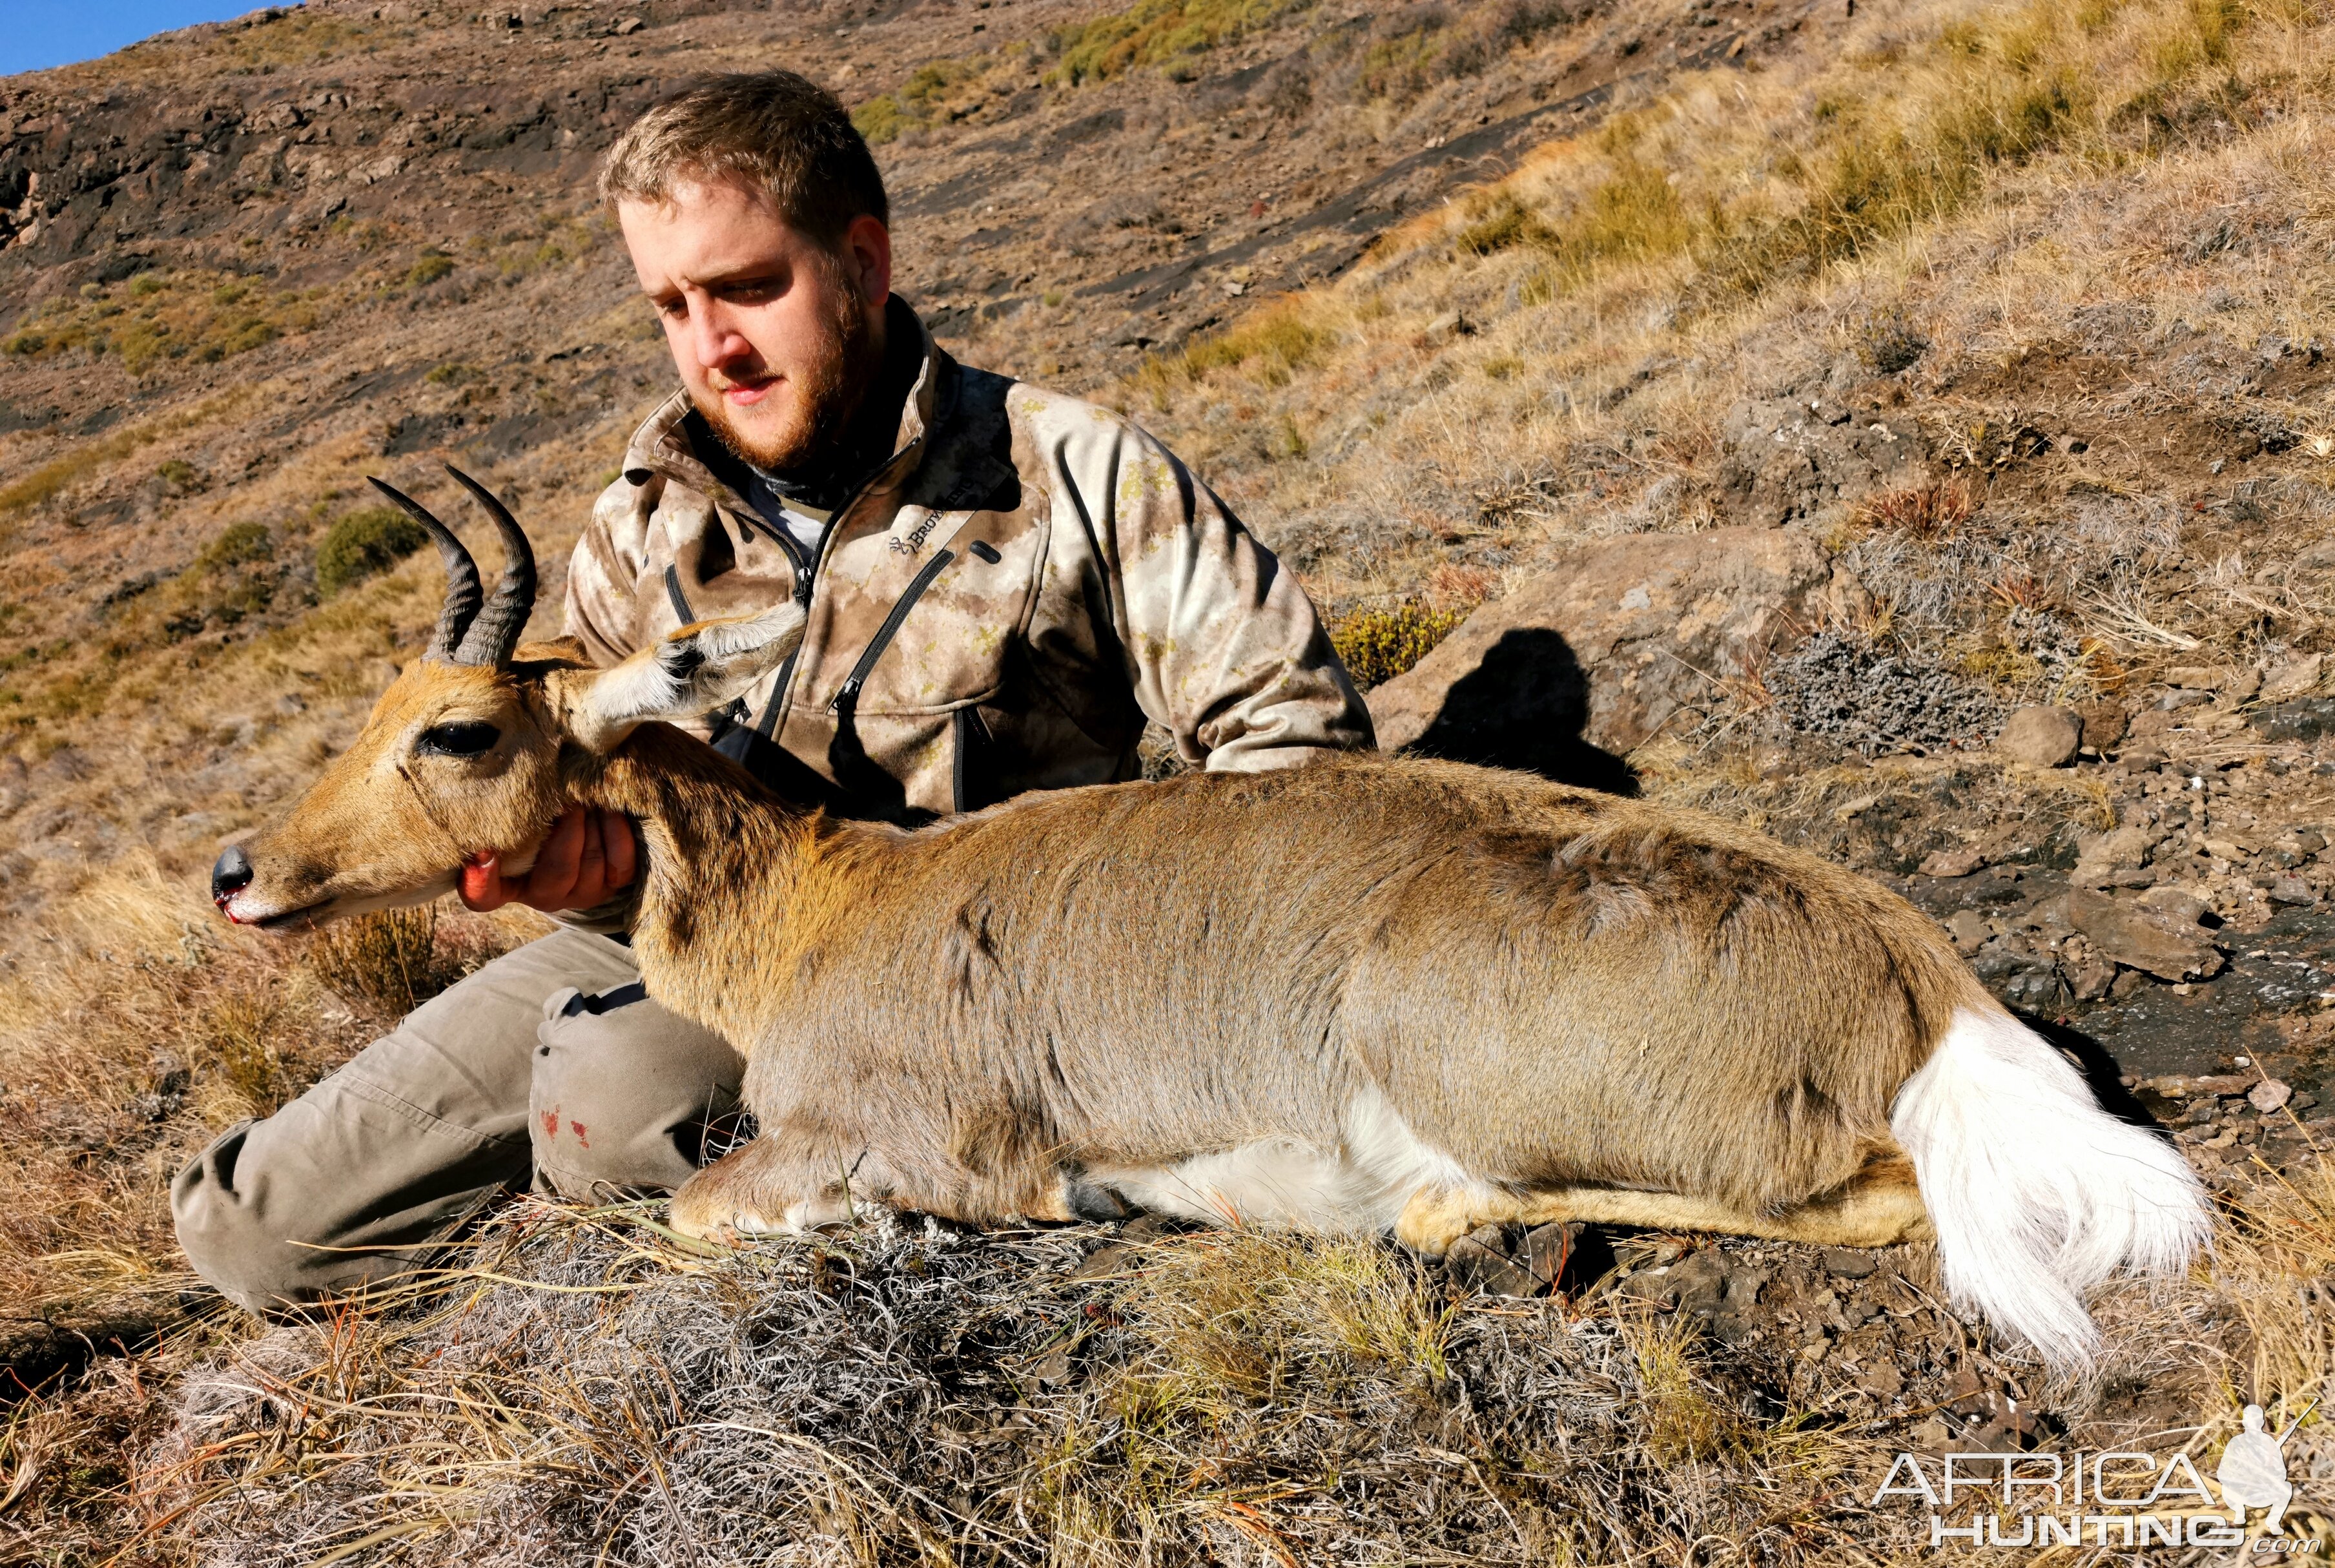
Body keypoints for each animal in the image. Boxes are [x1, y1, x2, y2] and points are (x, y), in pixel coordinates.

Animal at [214, 469, 2204, 1374]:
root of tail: (1921, 983)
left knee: (1851, 1204)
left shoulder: (884, 1139)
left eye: (456, 727)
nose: (240, 872)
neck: (839, 892)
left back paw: (1412, 1216)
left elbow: (712, 1210)